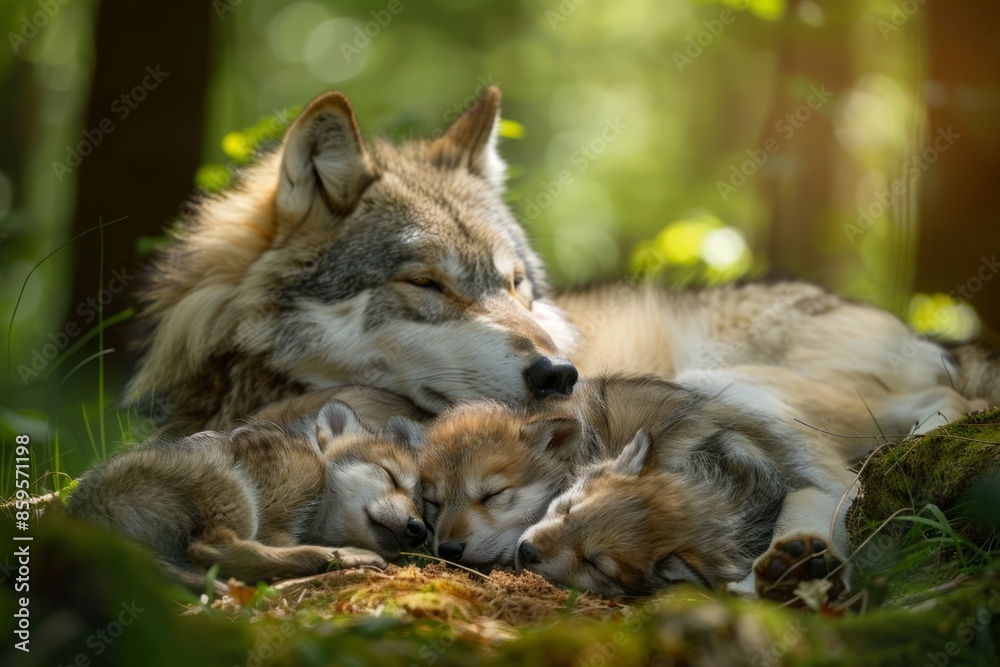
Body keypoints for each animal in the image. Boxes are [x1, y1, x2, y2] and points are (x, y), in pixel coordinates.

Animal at [68, 400, 428, 591]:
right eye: (390, 475)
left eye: (422, 506)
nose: (419, 529)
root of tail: (86, 516)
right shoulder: (283, 503)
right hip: (230, 488)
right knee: (213, 549)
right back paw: (344, 556)